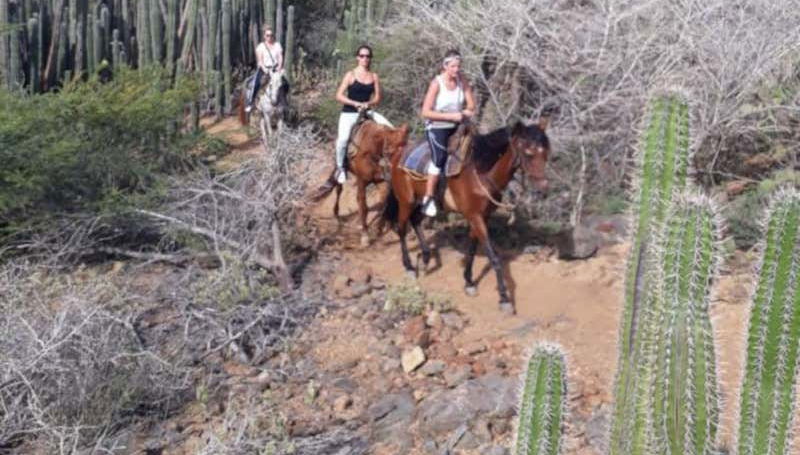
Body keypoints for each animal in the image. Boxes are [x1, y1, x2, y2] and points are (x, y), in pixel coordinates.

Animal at [310, 118, 410, 246]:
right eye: (391, 151)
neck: (372, 152)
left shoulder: (381, 182)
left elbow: (383, 204)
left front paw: (378, 229)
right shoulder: (362, 181)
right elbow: (364, 207)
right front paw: (365, 236)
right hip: (342, 171)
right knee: (339, 190)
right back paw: (337, 215)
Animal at [381, 116, 551, 314]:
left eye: (546, 153)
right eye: (529, 153)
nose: (543, 189)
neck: (481, 172)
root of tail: (398, 155)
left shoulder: (481, 217)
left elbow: (471, 249)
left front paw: (469, 281)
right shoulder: (475, 217)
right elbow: (494, 258)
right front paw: (504, 299)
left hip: (422, 201)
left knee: (415, 221)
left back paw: (426, 258)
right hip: (406, 200)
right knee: (401, 228)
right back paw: (408, 266)